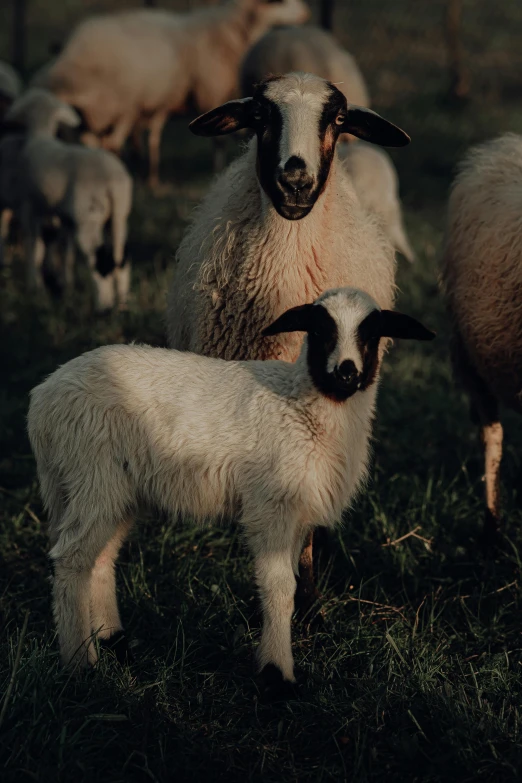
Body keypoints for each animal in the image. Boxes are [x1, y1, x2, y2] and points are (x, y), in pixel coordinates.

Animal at [0, 90, 134, 310]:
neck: (40, 135)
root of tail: (112, 181)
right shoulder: (66, 219)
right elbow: (66, 252)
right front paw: (67, 284)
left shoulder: (30, 206)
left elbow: (34, 247)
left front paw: (34, 286)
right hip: (119, 217)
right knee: (121, 257)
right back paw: (122, 303)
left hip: (89, 217)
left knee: (98, 259)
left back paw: (103, 304)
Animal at [27, 286, 434, 692]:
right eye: (319, 331)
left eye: (372, 334)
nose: (346, 371)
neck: (302, 405)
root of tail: (44, 399)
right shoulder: (271, 506)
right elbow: (279, 586)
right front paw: (277, 672)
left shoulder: (296, 513)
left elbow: (291, 582)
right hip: (93, 474)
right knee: (71, 560)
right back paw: (80, 663)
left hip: (114, 487)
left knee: (100, 559)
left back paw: (115, 642)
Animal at [36, 0, 310, 188]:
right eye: (280, 1)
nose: (306, 13)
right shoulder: (211, 91)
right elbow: (218, 141)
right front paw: (217, 170)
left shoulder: (157, 105)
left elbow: (152, 138)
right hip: (117, 105)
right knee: (108, 144)